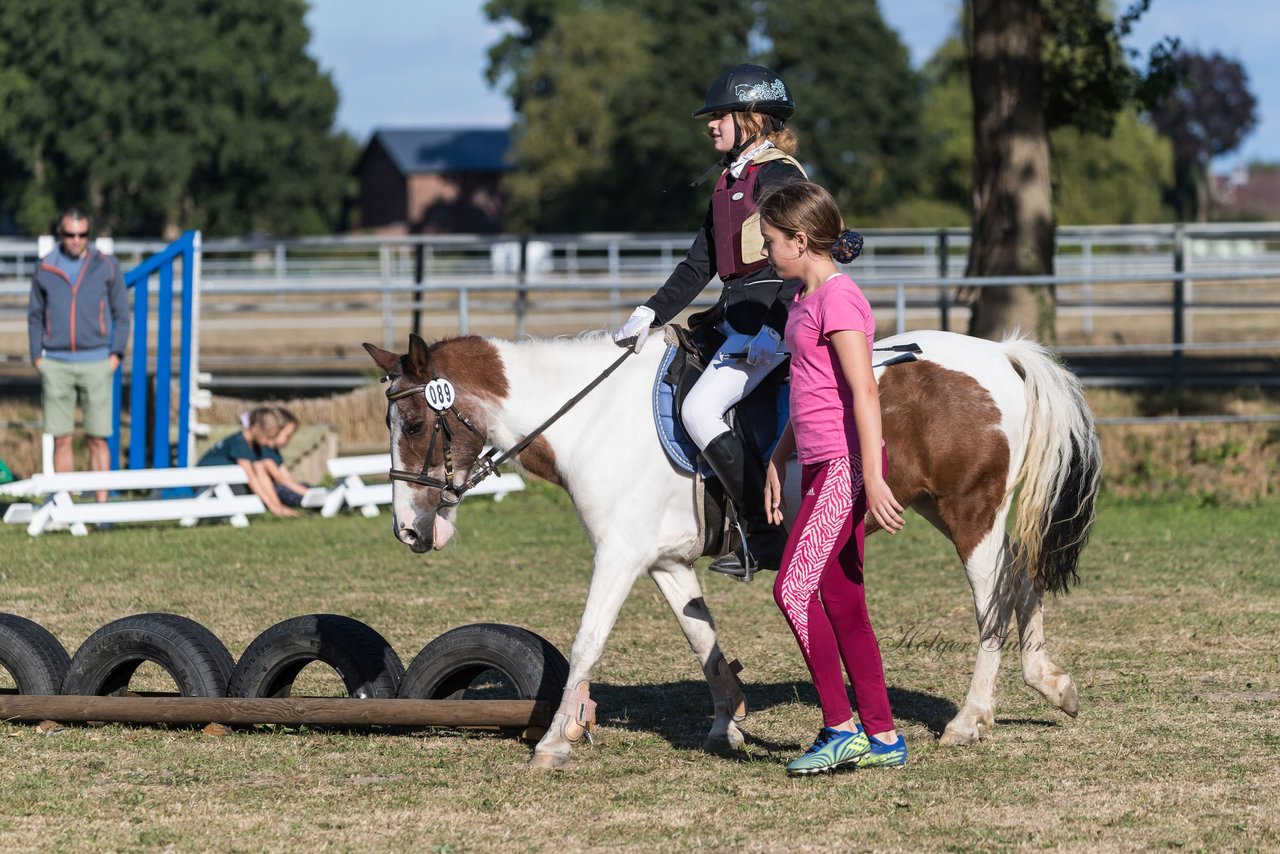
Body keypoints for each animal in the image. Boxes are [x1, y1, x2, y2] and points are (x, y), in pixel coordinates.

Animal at [363, 327, 1100, 768]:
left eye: (417, 422)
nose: (409, 531)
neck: (593, 420)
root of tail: (998, 352)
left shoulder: (617, 557)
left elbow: (587, 641)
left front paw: (552, 742)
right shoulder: (663, 561)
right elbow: (705, 642)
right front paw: (729, 725)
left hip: (970, 512)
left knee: (993, 602)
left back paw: (971, 718)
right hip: (945, 510)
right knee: (1023, 581)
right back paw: (1051, 684)